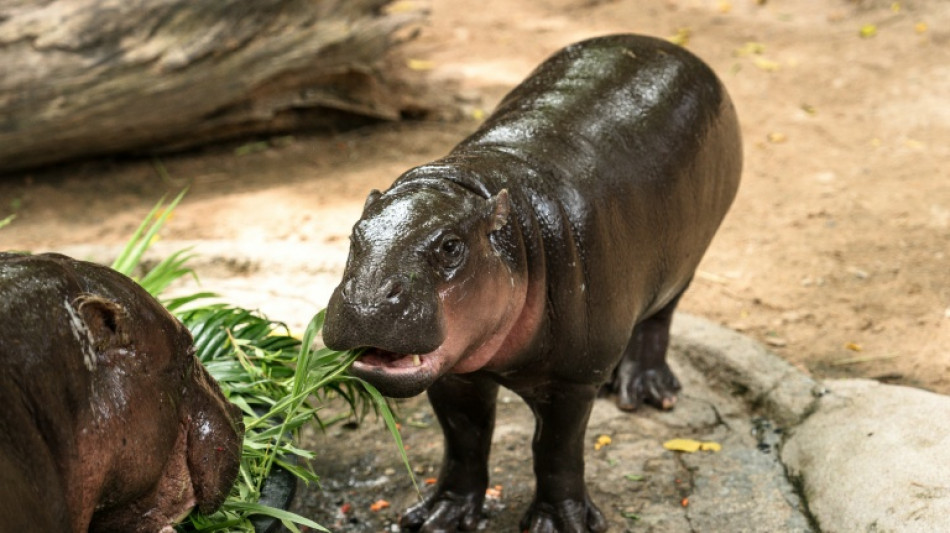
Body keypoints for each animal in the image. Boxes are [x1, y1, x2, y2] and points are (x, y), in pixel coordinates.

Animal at [323, 34, 741, 532]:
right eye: (354, 233)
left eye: (450, 246)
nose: (367, 300)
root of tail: (668, 45)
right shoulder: (455, 374)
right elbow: (464, 440)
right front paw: (439, 516)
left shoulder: (571, 381)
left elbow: (556, 451)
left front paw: (558, 523)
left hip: (685, 263)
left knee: (658, 319)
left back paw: (645, 391)